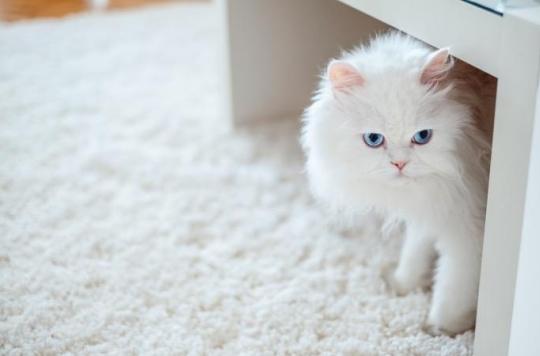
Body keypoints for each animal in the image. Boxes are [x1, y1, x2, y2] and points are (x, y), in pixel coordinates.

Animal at [302, 32, 492, 336]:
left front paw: (441, 329)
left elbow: (452, 287)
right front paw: (403, 284)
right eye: (373, 139)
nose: (400, 164)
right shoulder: (435, 204)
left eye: (423, 136)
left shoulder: (468, 229)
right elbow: (415, 249)